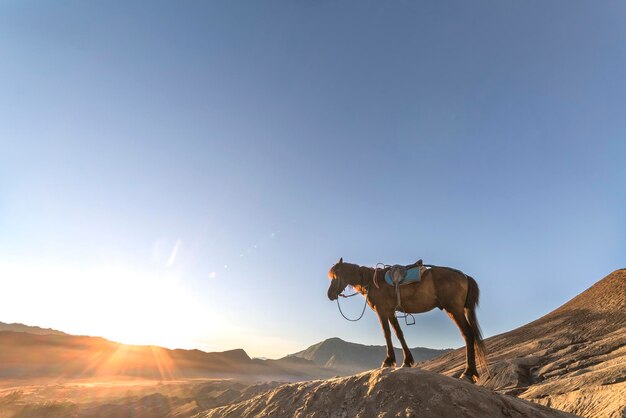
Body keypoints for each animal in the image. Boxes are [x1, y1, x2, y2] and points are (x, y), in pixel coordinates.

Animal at [326, 256, 488, 384]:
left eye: (336, 276)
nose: (330, 294)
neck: (372, 282)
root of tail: (464, 276)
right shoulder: (391, 312)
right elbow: (399, 333)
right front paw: (407, 361)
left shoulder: (382, 311)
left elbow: (387, 333)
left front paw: (388, 361)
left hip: (454, 310)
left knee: (468, 334)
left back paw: (467, 373)